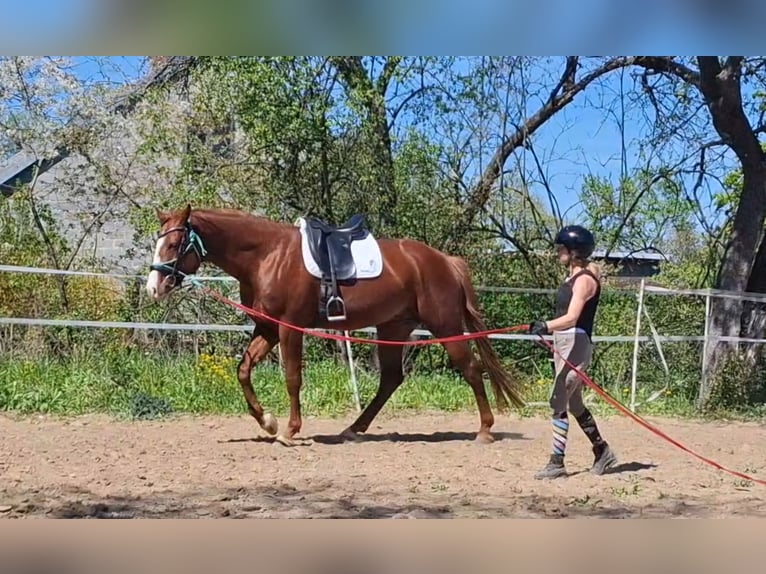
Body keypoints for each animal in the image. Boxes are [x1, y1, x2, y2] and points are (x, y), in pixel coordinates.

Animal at [145, 204, 525, 446]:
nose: (153, 288)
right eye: (158, 242)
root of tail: (445, 261)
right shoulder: (267, 329)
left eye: (175, 243)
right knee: (391, 379)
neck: (267, 255)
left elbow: (292, 378)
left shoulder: (289, 327)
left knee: (471, 369)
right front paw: (267, 422)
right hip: (394, 327)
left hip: (445, 326)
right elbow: (243, 370)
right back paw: (354, 429)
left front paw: (289, 431)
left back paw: (484, 431)